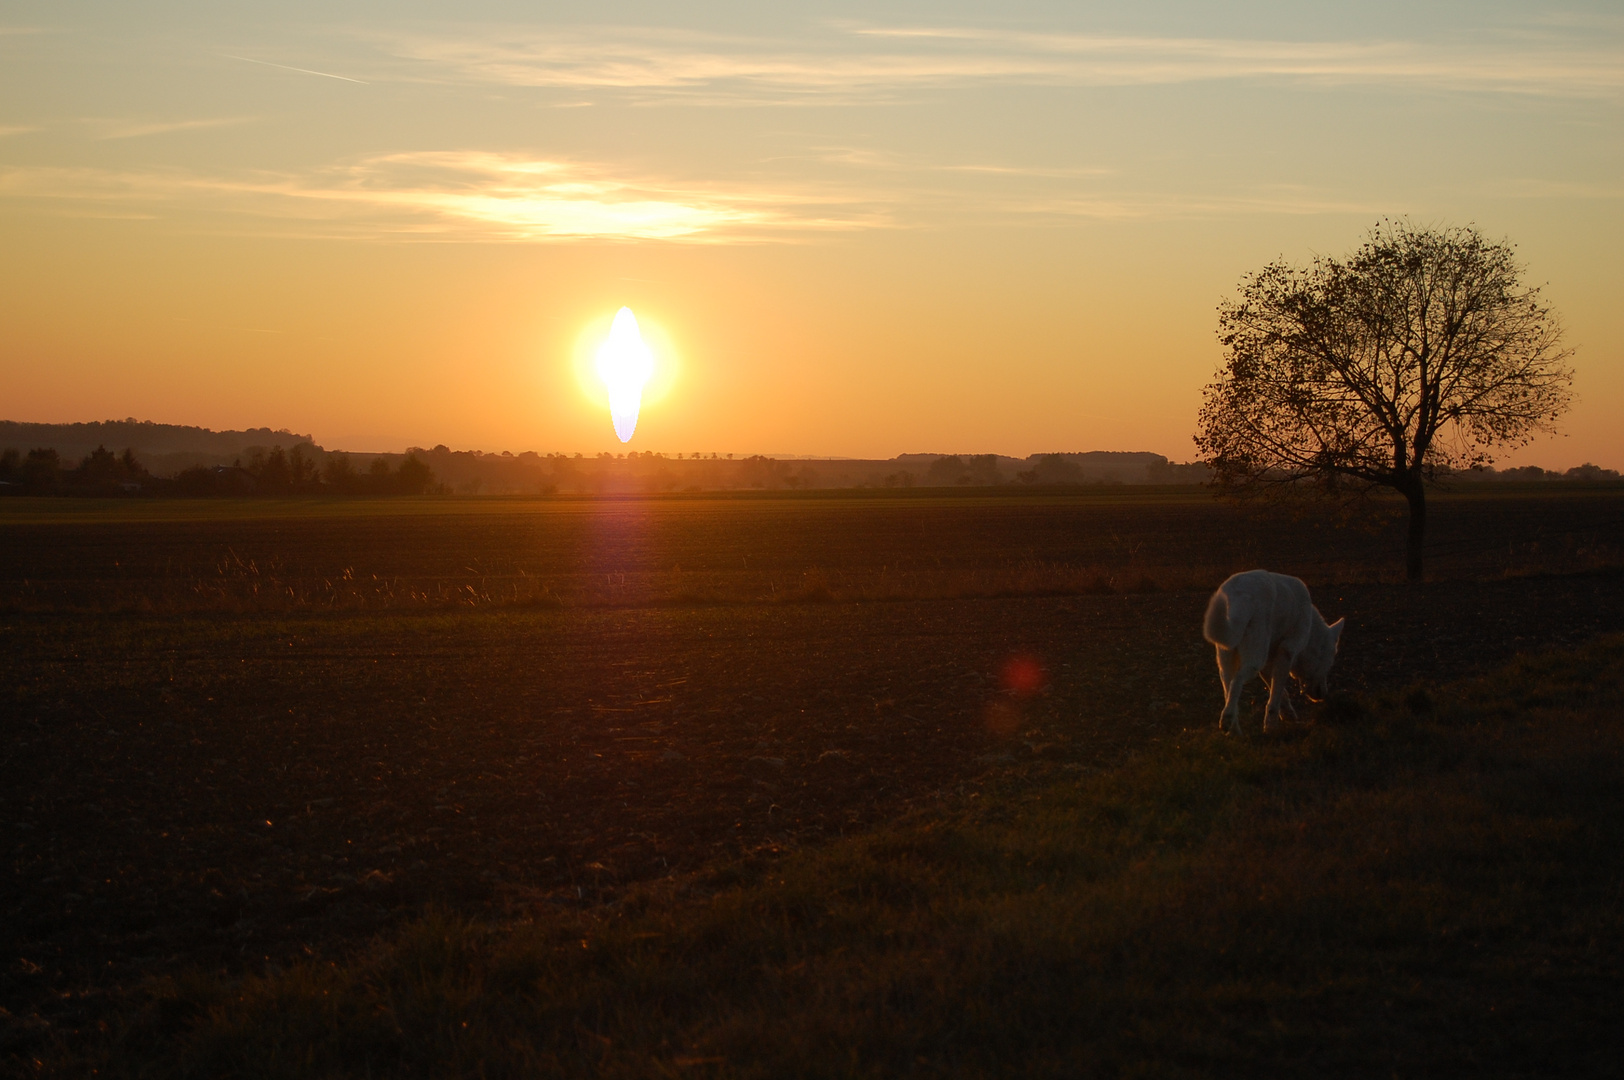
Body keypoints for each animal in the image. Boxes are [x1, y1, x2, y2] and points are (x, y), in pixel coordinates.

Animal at [1208, 571, 1344, 734]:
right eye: (1329, 665)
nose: (1324, 694)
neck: (1311, 629)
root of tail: (1238, 596)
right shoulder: (1287, 652)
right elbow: (1276, 694)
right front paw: (1271, 726)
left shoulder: (1269, 663)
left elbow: (1279, 692)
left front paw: (1287, 715)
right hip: (1254, 661)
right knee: (1237, 680)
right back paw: (1228, 719)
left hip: (1226, 658)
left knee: (1228, 687)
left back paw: (1235, 730)